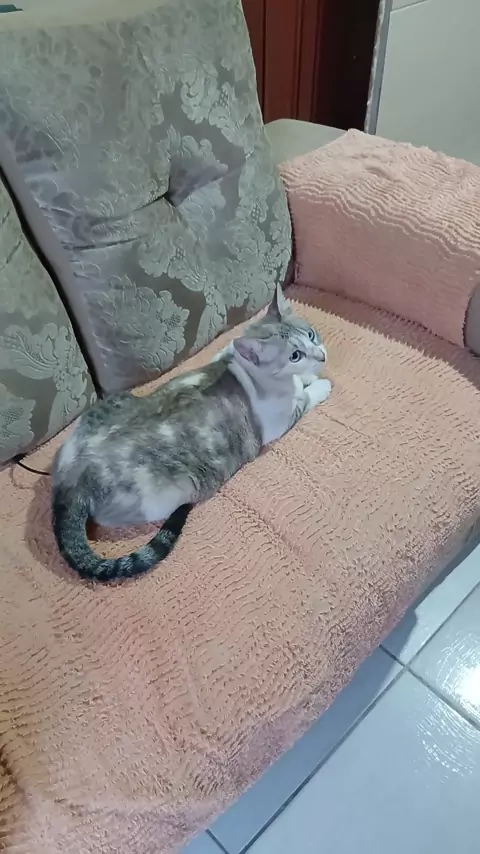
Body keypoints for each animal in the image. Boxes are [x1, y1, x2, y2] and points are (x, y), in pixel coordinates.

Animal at [52, 285, 331, 583]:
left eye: (311, 335)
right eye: (294, 356)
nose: (322, 356)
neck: (244, 367)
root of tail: (69, 483)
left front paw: (309, 377)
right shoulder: (283, 419)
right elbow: (306, 395)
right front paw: (320, 384)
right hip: (169, 495)